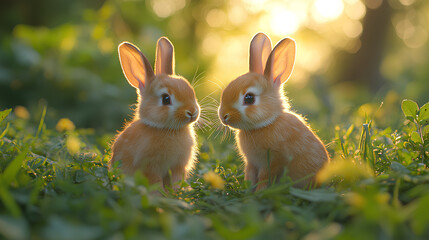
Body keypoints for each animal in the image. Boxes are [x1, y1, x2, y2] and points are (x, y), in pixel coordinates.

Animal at [108, 36, 199, 188]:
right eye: (166, 99)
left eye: (191, 91)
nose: (192, 112)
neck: (166, 129)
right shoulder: (150, 167)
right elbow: (155, 183)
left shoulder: (177, 168)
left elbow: (175, 183)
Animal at [217, 32, 328, 189]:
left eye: (249, 98)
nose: (223, 116)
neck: (266, 124)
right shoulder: (252, 162)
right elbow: (249, 175)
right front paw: (248, 190)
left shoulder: (273, 160)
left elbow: (264, 177)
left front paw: (259, 191)